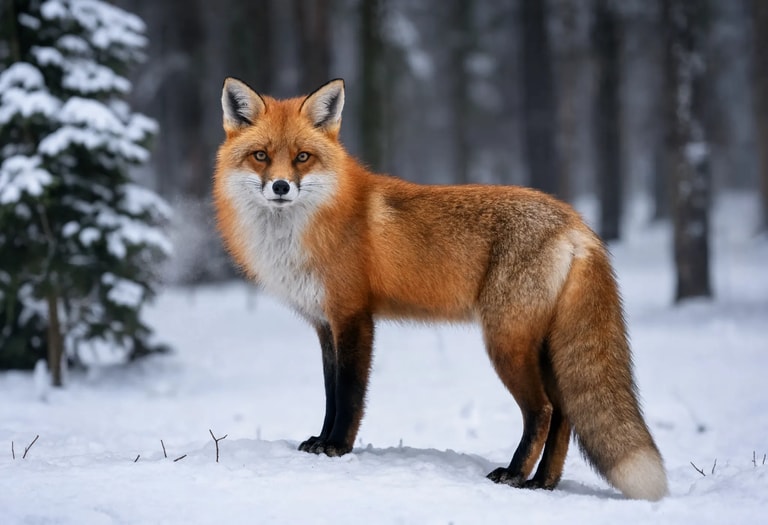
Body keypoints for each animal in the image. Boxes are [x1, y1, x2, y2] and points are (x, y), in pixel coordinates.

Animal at [212, 77, 668, 501]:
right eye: (261, 156)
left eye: (302, 157)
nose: (280, 187)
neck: (305, 231)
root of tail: (576, 221)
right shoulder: (325, 324)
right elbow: (330, 395)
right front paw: (321, 441)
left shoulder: (354, 316)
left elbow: (349, 394)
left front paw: (337, 447)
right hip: (541, 346)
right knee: (565, 415)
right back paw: (543, 483)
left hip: (507, 342)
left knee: (543, 410)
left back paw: (514, 474)